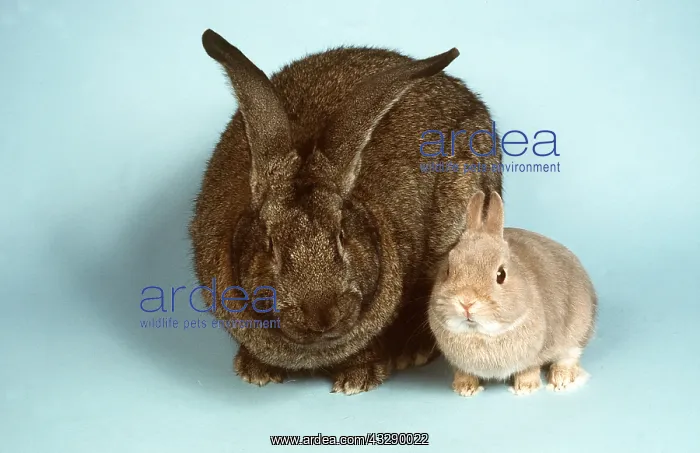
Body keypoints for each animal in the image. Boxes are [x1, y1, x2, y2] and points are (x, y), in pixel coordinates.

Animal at [189, 29, 503, 395]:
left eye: (341, 236)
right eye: (270, 246)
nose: (322, 316)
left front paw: (357, 378)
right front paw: (256, 371)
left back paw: (412, 351)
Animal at [428, 191, 597, 396]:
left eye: (501, 275)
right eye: (448, 269)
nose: (466, 302)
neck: (480, 333)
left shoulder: (535, 354)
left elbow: (529, 369)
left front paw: (526, 388)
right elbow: (464, 372)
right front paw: (465, 388)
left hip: (578, 328)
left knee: (569, 355)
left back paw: (561, 379)